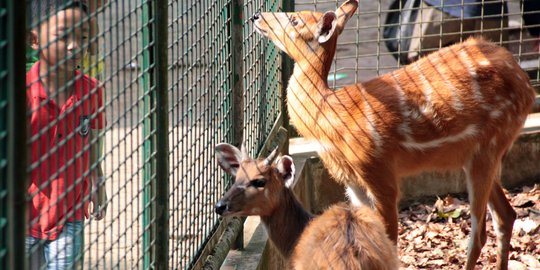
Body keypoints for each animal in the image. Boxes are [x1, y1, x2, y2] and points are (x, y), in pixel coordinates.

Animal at [251, 1, 536, 268]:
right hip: (479, 154)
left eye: (295, 20)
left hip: (488, 147)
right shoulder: (353, 181)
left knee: (479, 233)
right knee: (506, 215)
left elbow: (391, 240)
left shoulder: (378, 168)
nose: (256, 16)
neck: (331, 116)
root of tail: (527, 86)